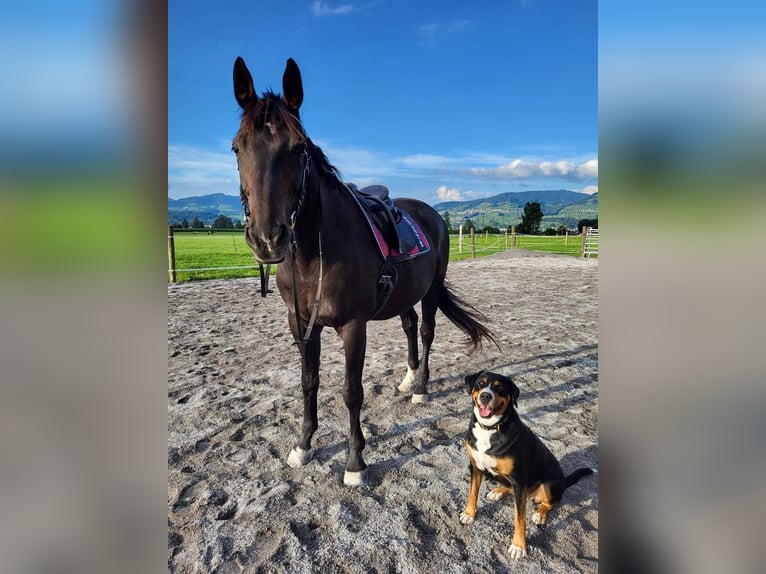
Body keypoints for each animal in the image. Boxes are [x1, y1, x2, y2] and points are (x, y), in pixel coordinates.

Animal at [232, 57, 498, 486]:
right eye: (237, 147)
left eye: (299, 148)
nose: (268, 238)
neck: (315, 256)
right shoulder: (300, 322)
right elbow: (309, 383)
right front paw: (303, 445)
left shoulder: (353, 326)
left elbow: (351, 391)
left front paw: (355, 462)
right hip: (405, 293)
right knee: (408, 326)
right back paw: (407, 378)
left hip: (431, 290)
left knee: (426, 331)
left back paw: (420, 387)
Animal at [460, 372, 596, 560]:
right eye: (480, 384)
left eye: (499, 387)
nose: (485, 396)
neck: (490, 428)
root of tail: (563, 480)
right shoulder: (475, 466)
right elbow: (472, 493)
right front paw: (469, 514)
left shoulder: (518, 478)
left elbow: (520, 518)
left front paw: (518, 546)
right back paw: (498, 492)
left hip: (549, 484)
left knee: (551, 503)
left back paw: (540, 513)